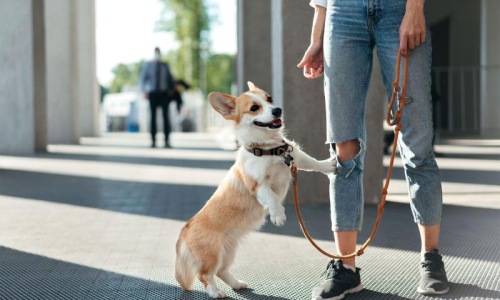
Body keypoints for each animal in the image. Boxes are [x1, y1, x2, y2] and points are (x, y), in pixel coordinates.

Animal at [176, 81, 336, 298]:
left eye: (270, 99)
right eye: (254, 108)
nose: (277, 110)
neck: (269, 149)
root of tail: (185, 229)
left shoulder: (296, 158)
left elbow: (313, 163)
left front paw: (329, 165)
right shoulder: (259, 184)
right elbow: (272, 197)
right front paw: (278, 215)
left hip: (229, 251)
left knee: (221, 271)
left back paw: (236, 284)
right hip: (212, 254)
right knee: (205, 275)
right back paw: (215, 292)